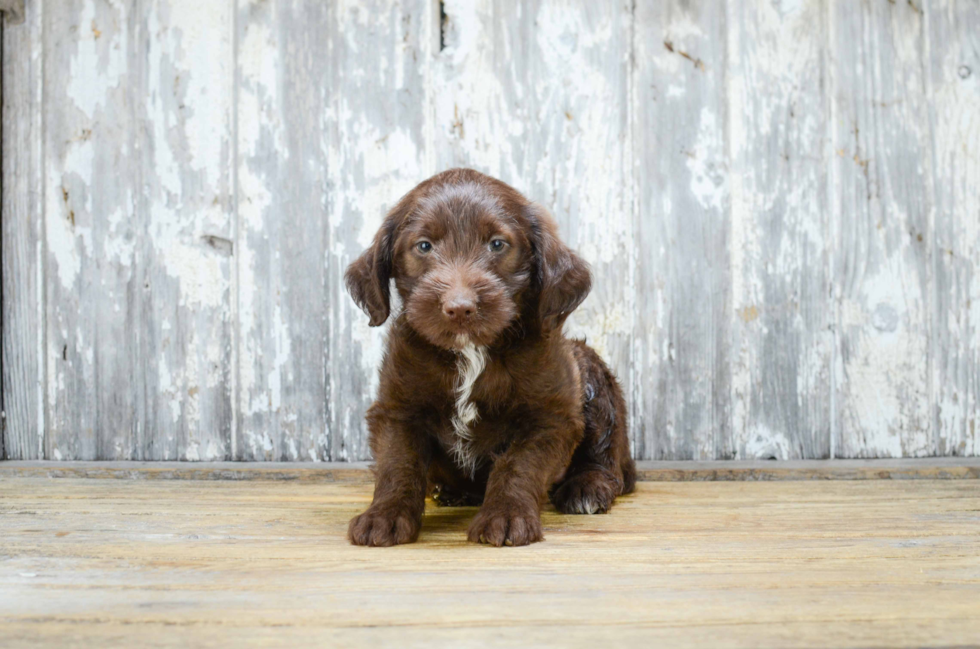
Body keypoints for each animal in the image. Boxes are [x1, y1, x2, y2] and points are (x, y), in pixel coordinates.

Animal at [344, 168, 636, 548]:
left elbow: (518, 465)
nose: (459, 308)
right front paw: (384, 515)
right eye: (423, 246)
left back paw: (587, 487)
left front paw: (506, 517)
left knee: (610, 461)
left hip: (591, 375)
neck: (472, 352)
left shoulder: (549, 416)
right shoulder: (398, 409)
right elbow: (398, 463)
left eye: (497, 244)